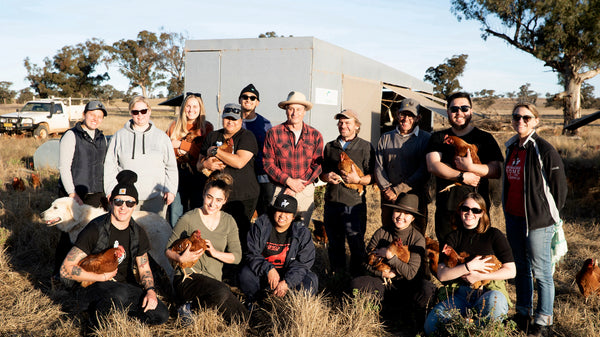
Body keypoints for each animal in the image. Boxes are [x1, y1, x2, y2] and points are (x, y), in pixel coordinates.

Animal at [41, 196, 173, 280]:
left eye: (56, 208)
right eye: (51, 206)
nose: (41, 215)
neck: (79, 221)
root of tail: (166, 223)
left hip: (159, 254)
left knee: (171, 271)